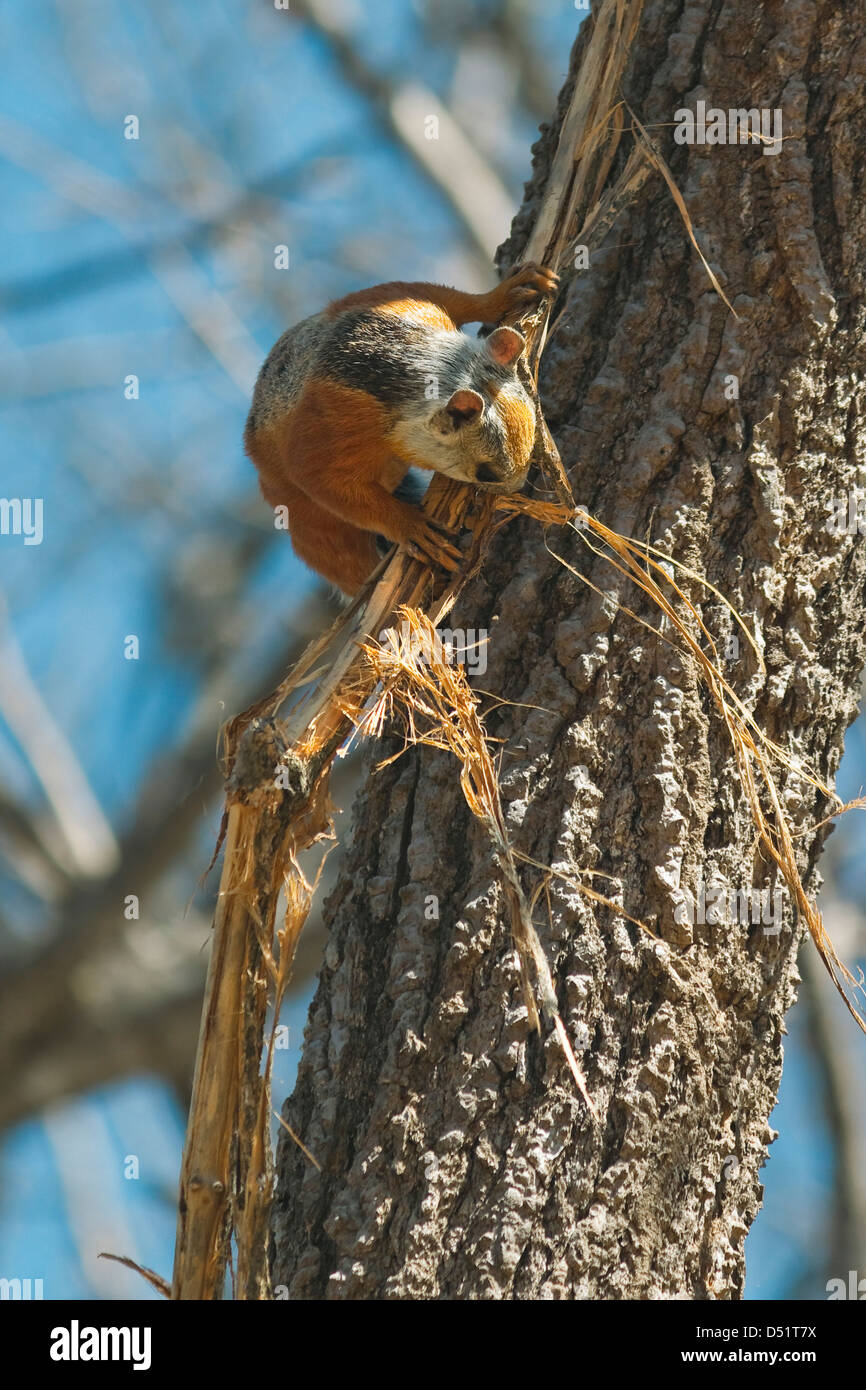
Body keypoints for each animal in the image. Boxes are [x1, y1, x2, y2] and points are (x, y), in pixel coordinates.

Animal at [244, 261, 559, 595]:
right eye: (486, 473)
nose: (517, 490)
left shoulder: (400, 299)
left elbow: (459, 301)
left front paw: (509, 291)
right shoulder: (331, 426)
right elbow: (322, 478)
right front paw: (411, 526)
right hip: (316, 528)